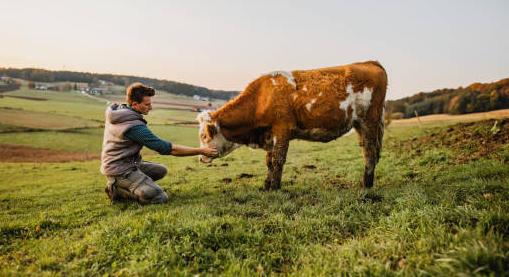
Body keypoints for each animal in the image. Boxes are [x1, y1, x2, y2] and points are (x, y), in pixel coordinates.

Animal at [197, 60, 384, 190]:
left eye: (204, 135)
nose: (201, 157)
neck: (261, 99)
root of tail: (369, 62)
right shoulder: (270, 134)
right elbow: (270, 161)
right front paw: (266, 186)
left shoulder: (282, 130)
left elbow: (278, 160)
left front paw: (275, 188)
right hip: (359, 124)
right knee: (367, 151)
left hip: (369, 121)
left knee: (370, 152)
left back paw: (366, 186)